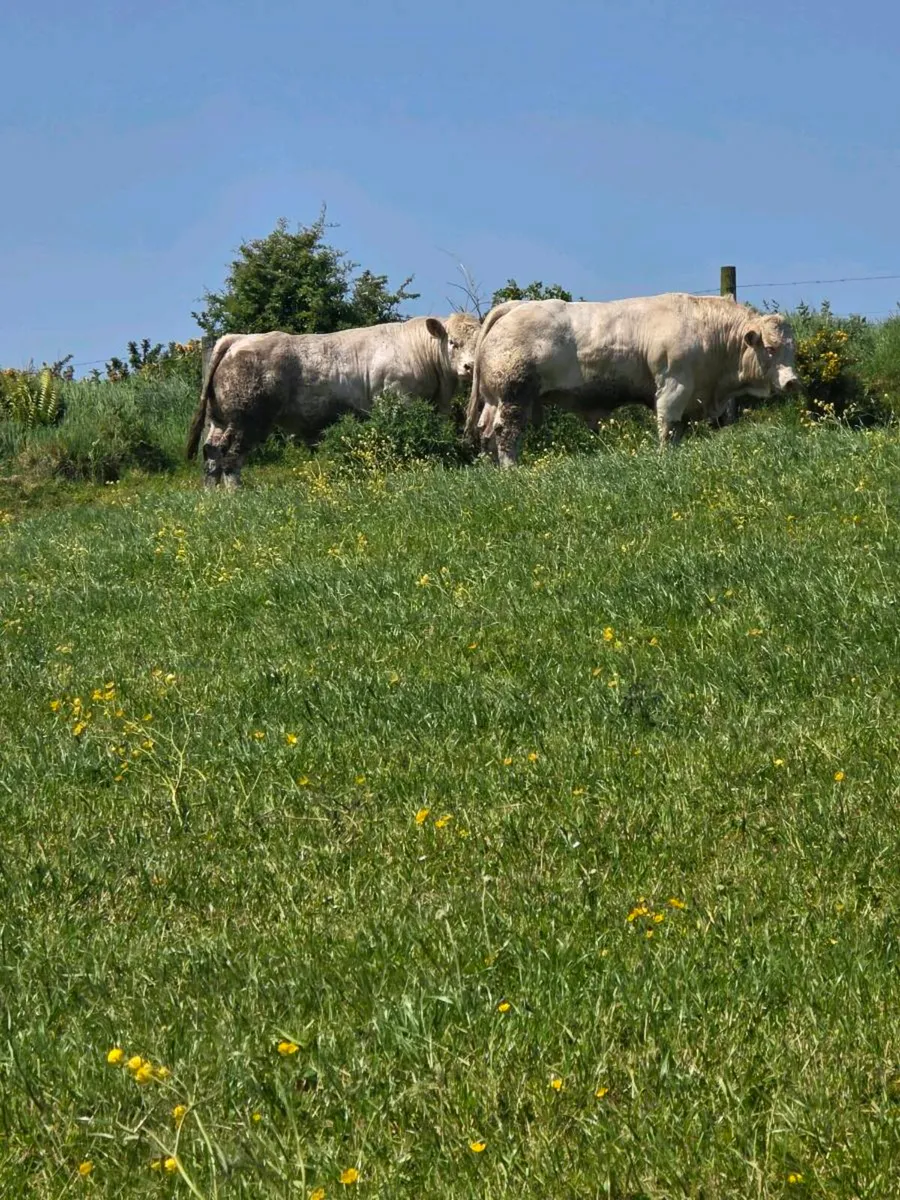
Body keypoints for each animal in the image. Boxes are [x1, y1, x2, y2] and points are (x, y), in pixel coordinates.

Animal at [186, 312, 481, 487]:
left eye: (478, 343)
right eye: (453, 342)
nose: (470, 367)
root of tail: (238, 339)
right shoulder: (399, 397)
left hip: (220, 419)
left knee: (211, 452)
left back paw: (212, 495)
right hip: (247, 421)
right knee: (230, 455)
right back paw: (234, 493)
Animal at [464, 293, 800, 465]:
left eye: (792, 349)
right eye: (770, 348)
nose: (792, 381)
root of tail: (517, 305)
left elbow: (678, 430)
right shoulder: (673, 386)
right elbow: (667, 427)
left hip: (495, 399)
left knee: (487, 432)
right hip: (514, 396)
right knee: (506, 432)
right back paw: (511, 470)